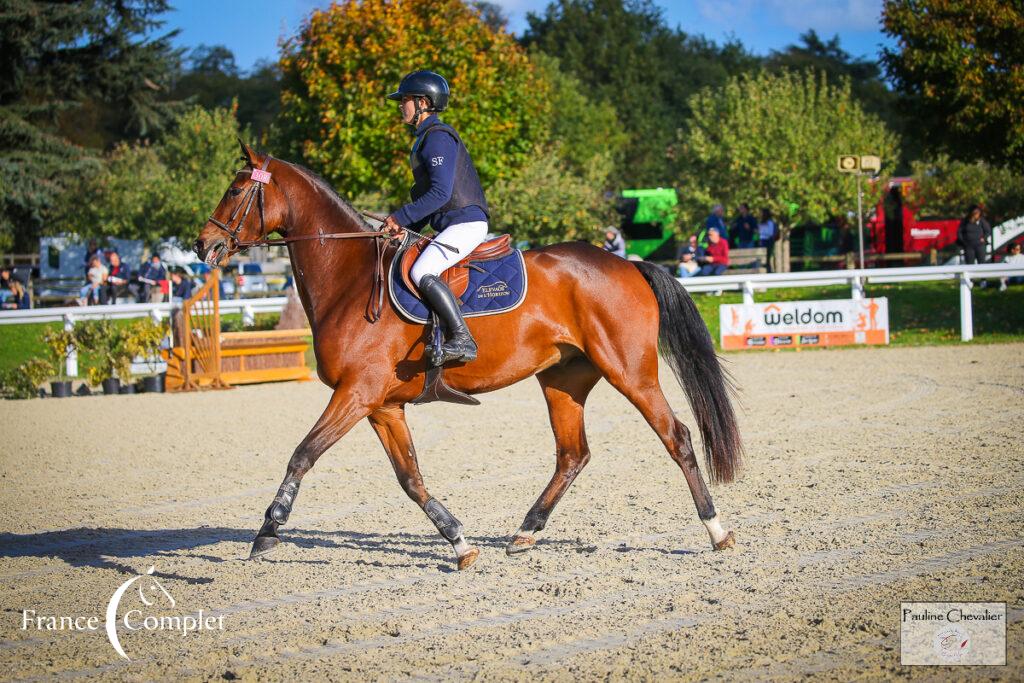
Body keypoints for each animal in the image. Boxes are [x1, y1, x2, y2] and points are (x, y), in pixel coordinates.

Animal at [192, 143, 741, 573]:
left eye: (237, 190)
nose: (203, 244)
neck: (349, 280)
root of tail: (627, 264)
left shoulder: (357, 393)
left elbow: (303, 453)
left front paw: (268, 529)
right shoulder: (382, 406)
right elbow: (411, 479)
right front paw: (459, 542)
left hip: (630, 372)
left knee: (677, 437)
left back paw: (717, 531)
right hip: (563, 379)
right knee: (572, 455)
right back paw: (525, 533)